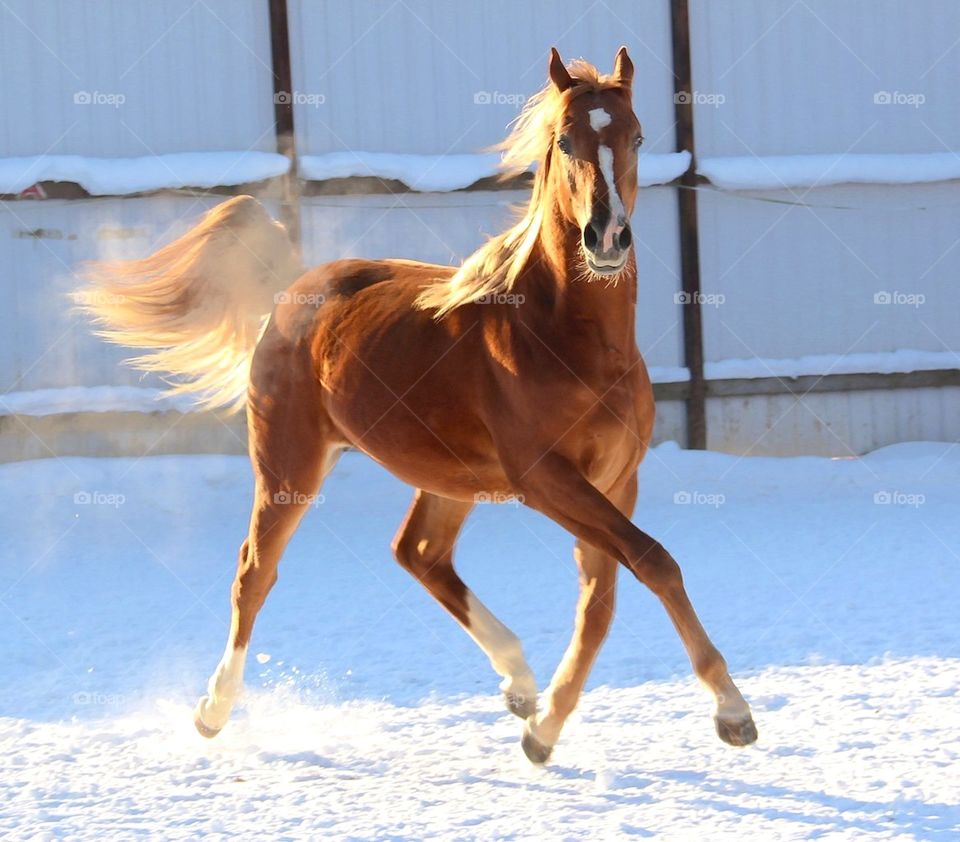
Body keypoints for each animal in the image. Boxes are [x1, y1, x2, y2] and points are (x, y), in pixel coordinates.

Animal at [78, 47, 757, 764]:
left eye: (638, 137)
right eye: (565, 140)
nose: (606, 238)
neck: (562, 338)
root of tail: (293, 288)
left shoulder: (616, 479)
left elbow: (602, 600)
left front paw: (543, 732)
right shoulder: (546, 479)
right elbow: (654, 561)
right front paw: (732, 711)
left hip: (450, 479)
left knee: (418, 553)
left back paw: (520, 684)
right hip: (291, 465)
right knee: (255, 572)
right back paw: (212, 710)